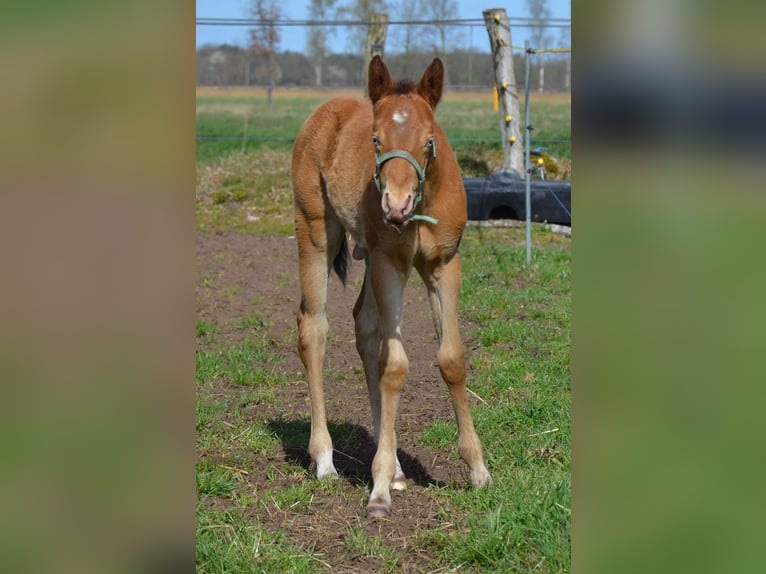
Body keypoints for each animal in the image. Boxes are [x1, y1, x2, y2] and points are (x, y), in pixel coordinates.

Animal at [291, 56, 491, 517]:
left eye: (429, 140)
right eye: (376, 140)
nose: (395, 207)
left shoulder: (444, 265)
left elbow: (451, 359)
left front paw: (478, 471)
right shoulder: (389, 264)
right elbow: (395, 365)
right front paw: (378, 490)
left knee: (363, 327)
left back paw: (397, 465)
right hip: (315, 233)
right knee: (314, 328)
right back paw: (325, 459)